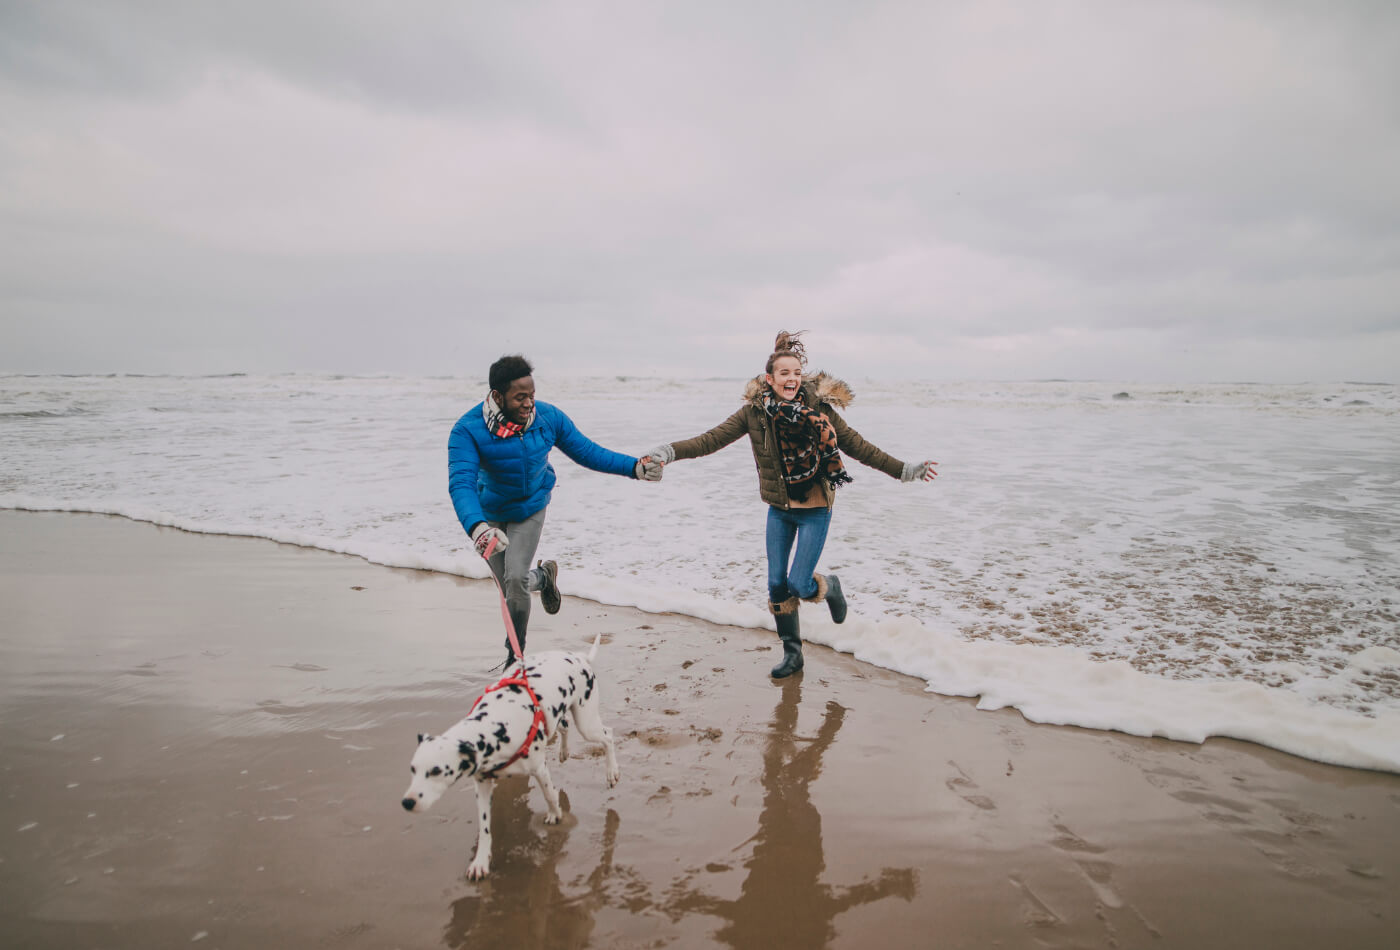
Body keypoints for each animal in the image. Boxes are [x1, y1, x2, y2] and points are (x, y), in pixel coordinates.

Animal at [400, 632, 618, 884]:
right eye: (412, 769)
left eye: (436, 771)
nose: (407, 802)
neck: (496, 724)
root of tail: (579, 656)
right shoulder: (482, 785)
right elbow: (485, 827)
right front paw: (480, 861)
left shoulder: (539, 769)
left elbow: (550, 795)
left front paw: (555, 815)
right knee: (563, 726)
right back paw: (564, 751)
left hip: (587, 722)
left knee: (608, 736)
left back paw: (612, 772)